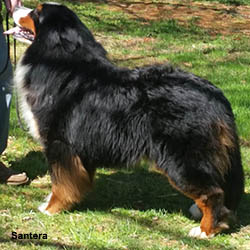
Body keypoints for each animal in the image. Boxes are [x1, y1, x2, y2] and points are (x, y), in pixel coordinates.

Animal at [9, 3, 244, 238]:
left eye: (36, 12)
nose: (15, 7)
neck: (58, 61)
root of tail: (215, 95)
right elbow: (75, 181)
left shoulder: (59, 143)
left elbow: (60, 182)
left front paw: (51, 208)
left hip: (183, 160)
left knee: (212, 192)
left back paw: (205, 229)